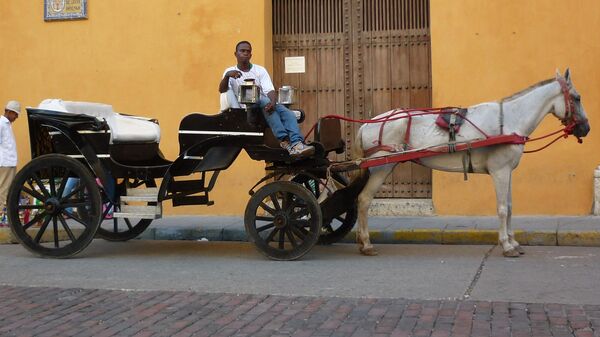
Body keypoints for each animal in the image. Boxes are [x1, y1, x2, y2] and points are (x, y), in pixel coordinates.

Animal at [352, 69, 592, 256]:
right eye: (577, 98)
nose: (586, 128)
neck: (509, 120)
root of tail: (367, 124)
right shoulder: (500, 171)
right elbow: (502, 208)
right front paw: (506, 245)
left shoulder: (508, 172)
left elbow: (510, 207)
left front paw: (513, 241)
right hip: (381, 168)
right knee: (363, 200)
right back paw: (367, 243)